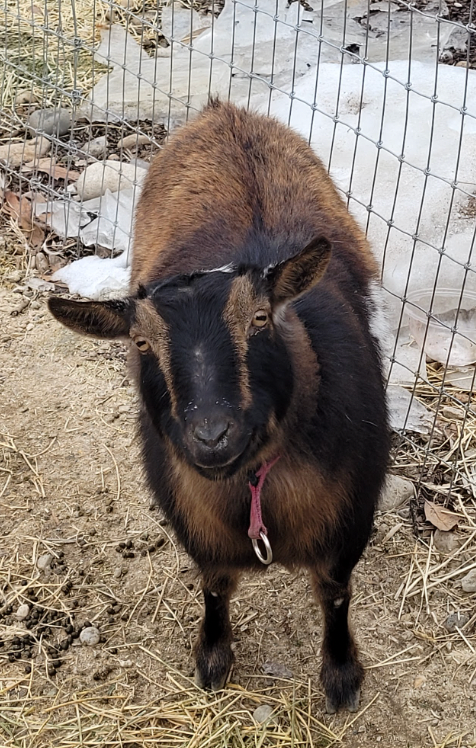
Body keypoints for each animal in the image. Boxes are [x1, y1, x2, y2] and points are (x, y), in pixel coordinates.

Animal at [48, 100, 389, 713]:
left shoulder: (349, 521)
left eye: (260, 319)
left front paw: (342, 676)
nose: (211, 435)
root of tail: (223, 111)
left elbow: (334, 595)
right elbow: (214, 584)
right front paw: (212, 658)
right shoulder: (196, 521)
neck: (254, 485)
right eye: (141, 343)